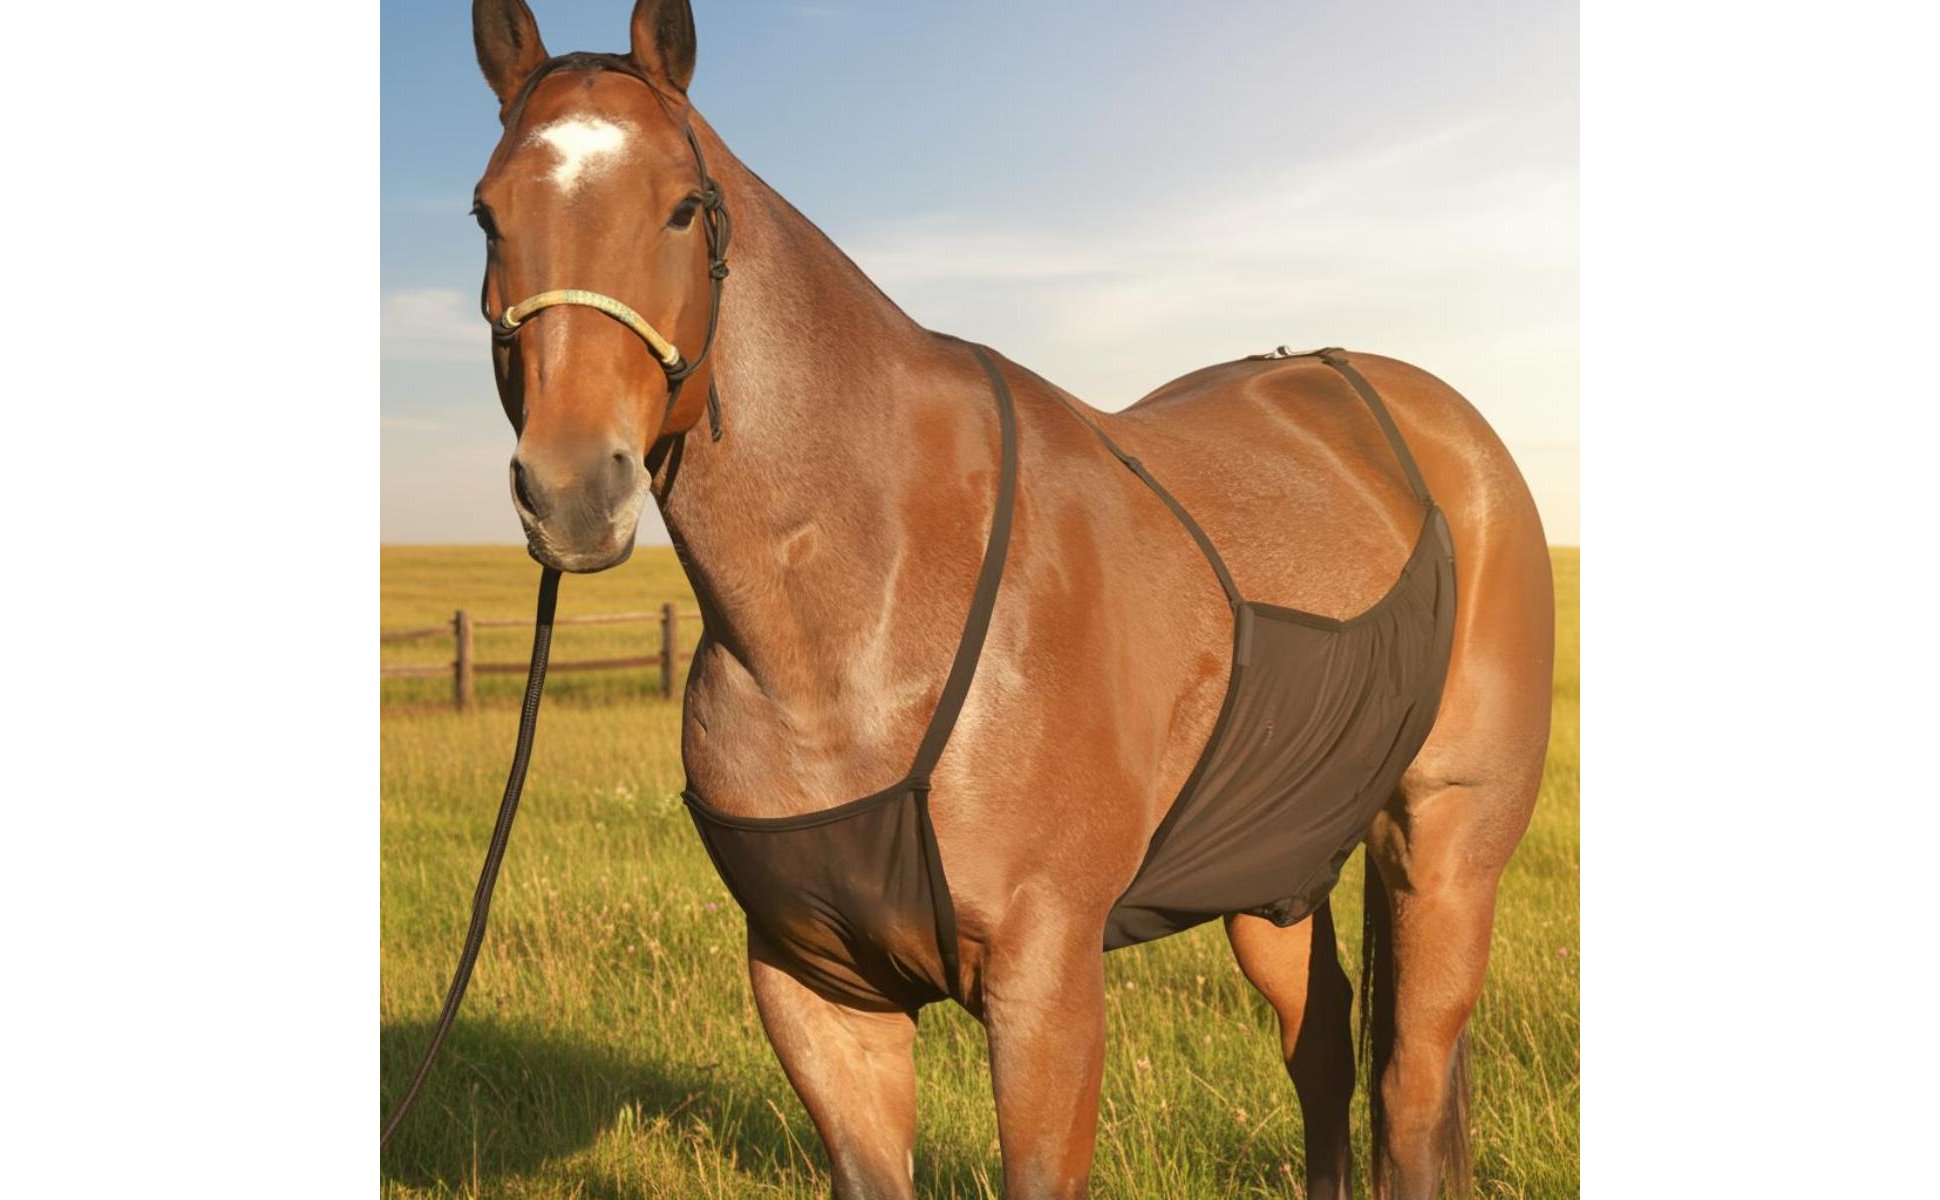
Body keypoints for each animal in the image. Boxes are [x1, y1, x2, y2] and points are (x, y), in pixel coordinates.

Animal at [464, 2, 1554, 1196]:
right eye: (486, 215)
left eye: (680, 207)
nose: (572, 489)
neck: (859, 619)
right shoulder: (817, 991)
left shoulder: (1047, 985)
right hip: (1276, 866)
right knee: (1322, 1048)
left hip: (1445, 851)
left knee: (1409, 1083)